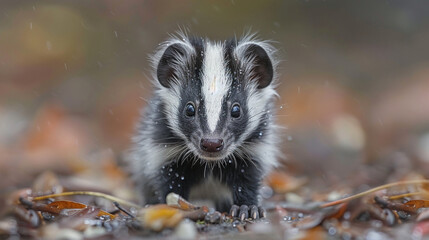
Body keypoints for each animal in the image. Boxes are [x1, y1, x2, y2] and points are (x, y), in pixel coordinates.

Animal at [129, 32, 280, 220]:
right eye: (189, 109)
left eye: (236, 110)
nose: (212, 143)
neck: (210, 164)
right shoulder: (164, 148)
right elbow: (169, 181)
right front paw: (171, 206)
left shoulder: (252, 150)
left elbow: (247, 179)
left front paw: (247, 208)